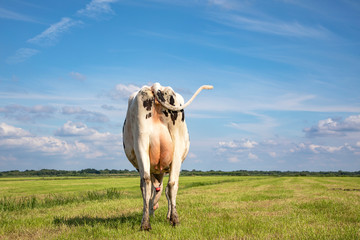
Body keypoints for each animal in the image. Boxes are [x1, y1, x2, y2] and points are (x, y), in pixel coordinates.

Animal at [123, 83, 214, 231]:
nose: (155, 207)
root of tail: (155, 86)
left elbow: (152, 192)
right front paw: (167, 215)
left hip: (143, 139)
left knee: (147, 181)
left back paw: (146, 223)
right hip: (176, 143)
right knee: (171, 183)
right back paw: (173, 219)